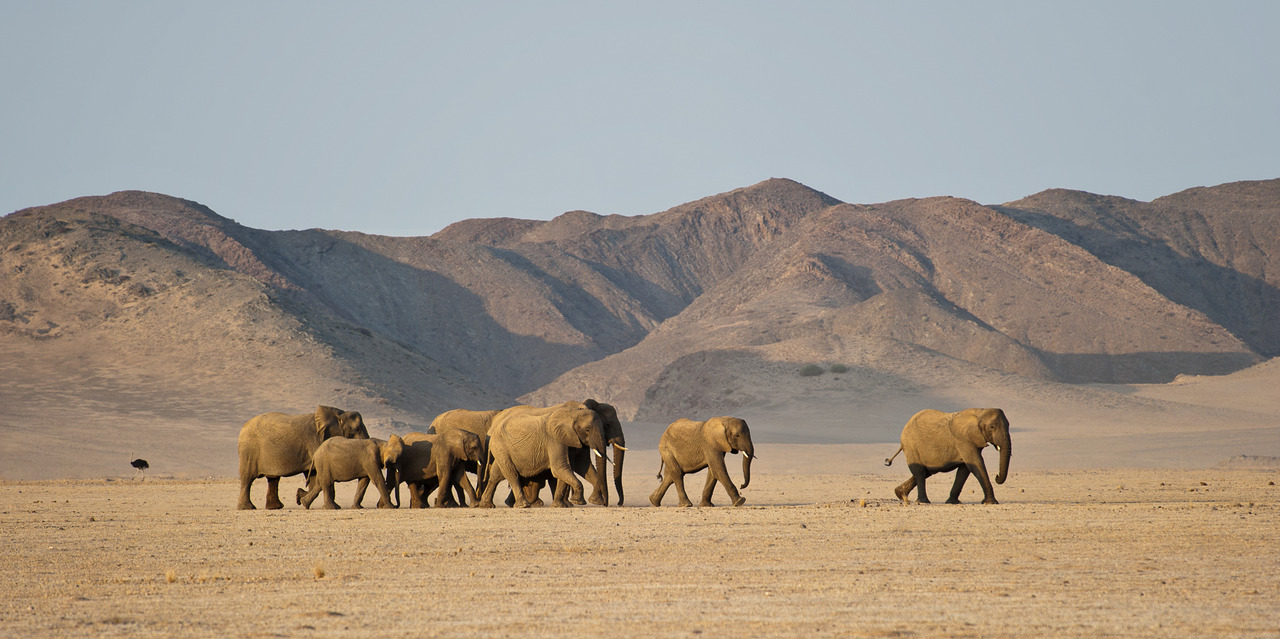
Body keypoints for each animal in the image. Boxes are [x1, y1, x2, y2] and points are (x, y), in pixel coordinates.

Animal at [236, 404, 371, 509]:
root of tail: (242, 428)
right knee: (248, 478)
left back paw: (275, 507)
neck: (337, 414)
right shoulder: (315, 440)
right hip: (249, 451)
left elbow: (313, 474)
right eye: (358, 429)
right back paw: (248, 508)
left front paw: (300, 496)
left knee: (273, 479)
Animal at [481, 399, 609, 509]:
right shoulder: (554, 439)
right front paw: (577, 501)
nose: (604, 504)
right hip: (500, 447)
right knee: (512, 474)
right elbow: (559, 468)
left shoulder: (571, 439)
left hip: (502, 450)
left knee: (496, 474)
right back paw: (523, 505)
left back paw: (487, 505)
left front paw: (561, 506)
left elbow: (580, 466)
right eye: (587, 430)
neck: (572, 413)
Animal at [880, 409, 1008, 504]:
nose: (997, 476)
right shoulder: (964, 440)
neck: (980, 411)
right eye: (992, 427)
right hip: (911, 446)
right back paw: (922, 501)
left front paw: (952, 502)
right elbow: (976, 464)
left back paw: (900, 493)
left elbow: (965, 469)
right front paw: (991, 502)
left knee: (927, 472)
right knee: (920, 472)